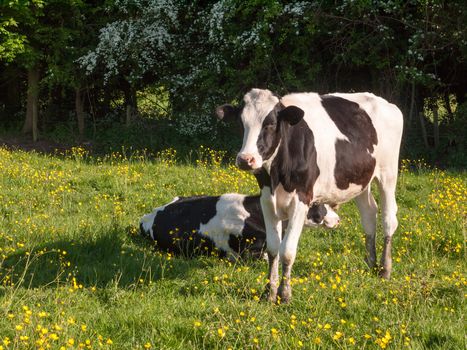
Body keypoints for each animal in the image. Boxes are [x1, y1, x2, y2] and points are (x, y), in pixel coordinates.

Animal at [218, 88, 404, 304]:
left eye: (270, 123)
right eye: (241, 123)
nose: (246, 159)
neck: (277, 175)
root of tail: (384, 102)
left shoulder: (302, 200)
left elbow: (287, 251)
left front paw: (285, 294)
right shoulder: (266, 199)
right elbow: (273, 248)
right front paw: (269, 292)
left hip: (388, 173)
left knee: (389, 219)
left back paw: (385, 269)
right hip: (360, 179)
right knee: (369, 214)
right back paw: (371, 263)